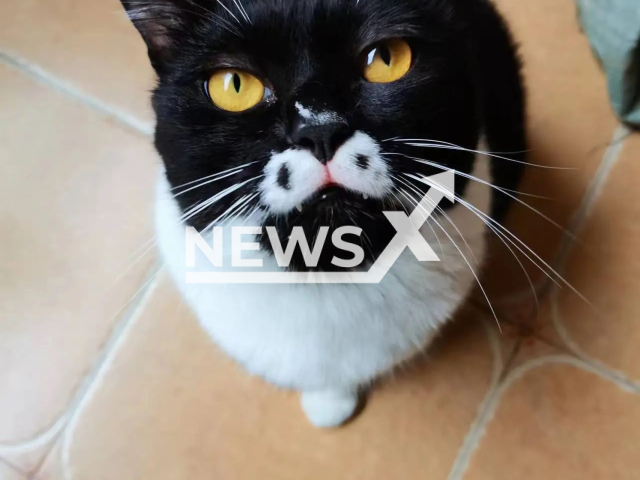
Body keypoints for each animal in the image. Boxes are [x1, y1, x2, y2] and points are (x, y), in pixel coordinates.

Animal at [119, 0, 524, 428]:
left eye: (387, 58)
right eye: (234, 85)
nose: (320, 130)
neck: (324, 272)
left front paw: (333, 403)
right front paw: (328, 403)